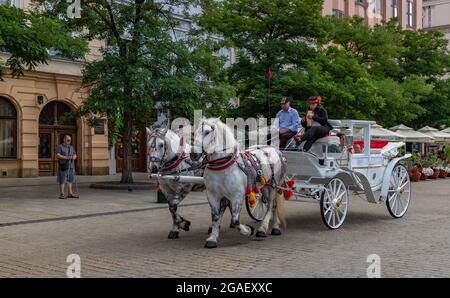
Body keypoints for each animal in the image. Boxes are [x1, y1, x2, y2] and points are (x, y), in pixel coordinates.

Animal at [192, 117, 286, 248]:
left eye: (207, 132)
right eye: (196, 132)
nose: (193, 154)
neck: (222, 166)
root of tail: (274, 149)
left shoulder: (237, 196)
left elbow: (235, 220)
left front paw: (248, 230)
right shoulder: (213, 196)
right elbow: (215, 217)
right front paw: (212, 238)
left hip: (272, 186)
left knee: (271, 205)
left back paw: (263, 229)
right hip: (264, 187)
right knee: (273, 206)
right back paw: (275, 227)